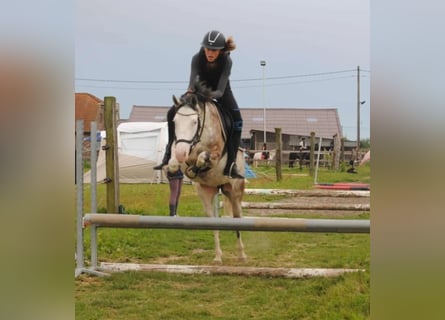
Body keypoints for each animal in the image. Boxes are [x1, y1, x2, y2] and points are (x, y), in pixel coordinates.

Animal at [166, 87, 246, 262]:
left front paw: (197, 167)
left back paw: (242, 254)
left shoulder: (215, 155)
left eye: (194, 122)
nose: (182, 152)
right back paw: (218, 256)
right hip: (207, 194)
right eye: (174, 122)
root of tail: (221, 185)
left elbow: (203, 158)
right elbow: (175, 162)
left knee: (238, 218)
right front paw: (180, 167)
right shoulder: (181, 152)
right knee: (214, 223)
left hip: (235, 192)